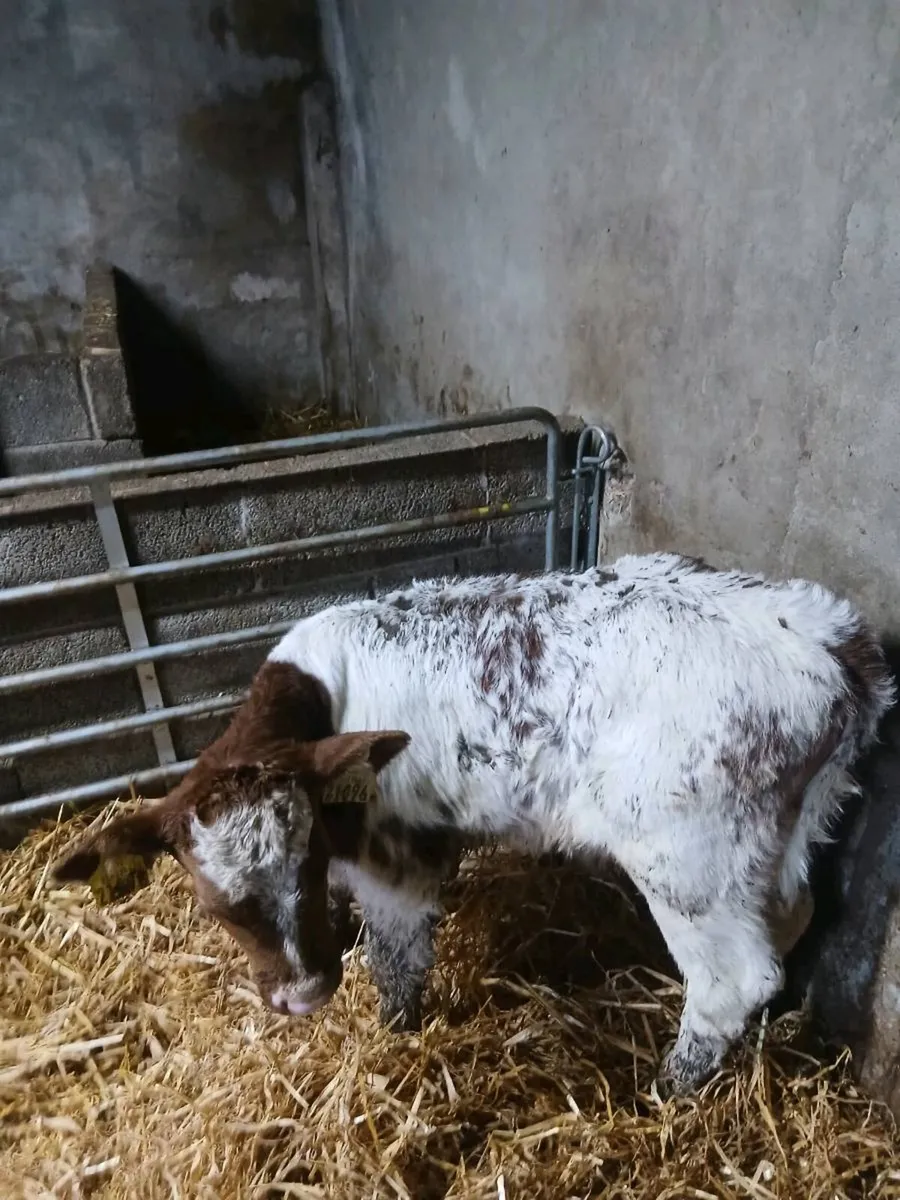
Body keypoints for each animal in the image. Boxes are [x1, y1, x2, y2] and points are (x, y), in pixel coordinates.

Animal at [51, 552, 895, 1095]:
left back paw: (668, 1088)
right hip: (777, 841)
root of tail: (828, 638)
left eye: (306, 860)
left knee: (732, 978)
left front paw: (393, 1035)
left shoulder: (395, 858)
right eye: (219, 907)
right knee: (791, 923)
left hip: (689, 858)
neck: (323, 700)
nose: (303, 995)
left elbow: (397, 960)